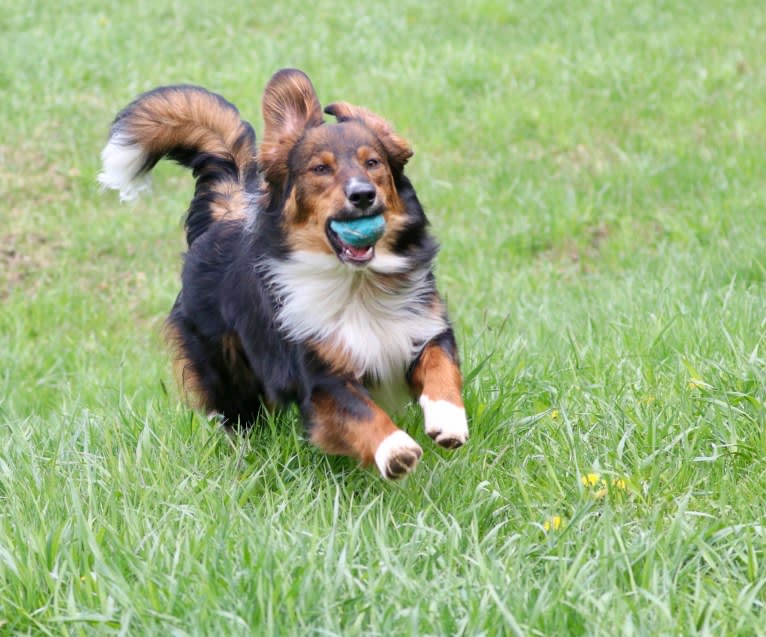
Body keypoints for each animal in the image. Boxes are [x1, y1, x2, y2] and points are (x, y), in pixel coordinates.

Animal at [99, 69, 472, 476]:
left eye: (373, 163)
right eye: (321, 169)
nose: (362, 195)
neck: (356, 284)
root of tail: (225, 211)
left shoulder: (421, 326)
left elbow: (440, 367)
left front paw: (448, 419)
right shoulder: (320, 375)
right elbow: (360, 412)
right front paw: (394, 448)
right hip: (226, 371)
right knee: (238, 417)